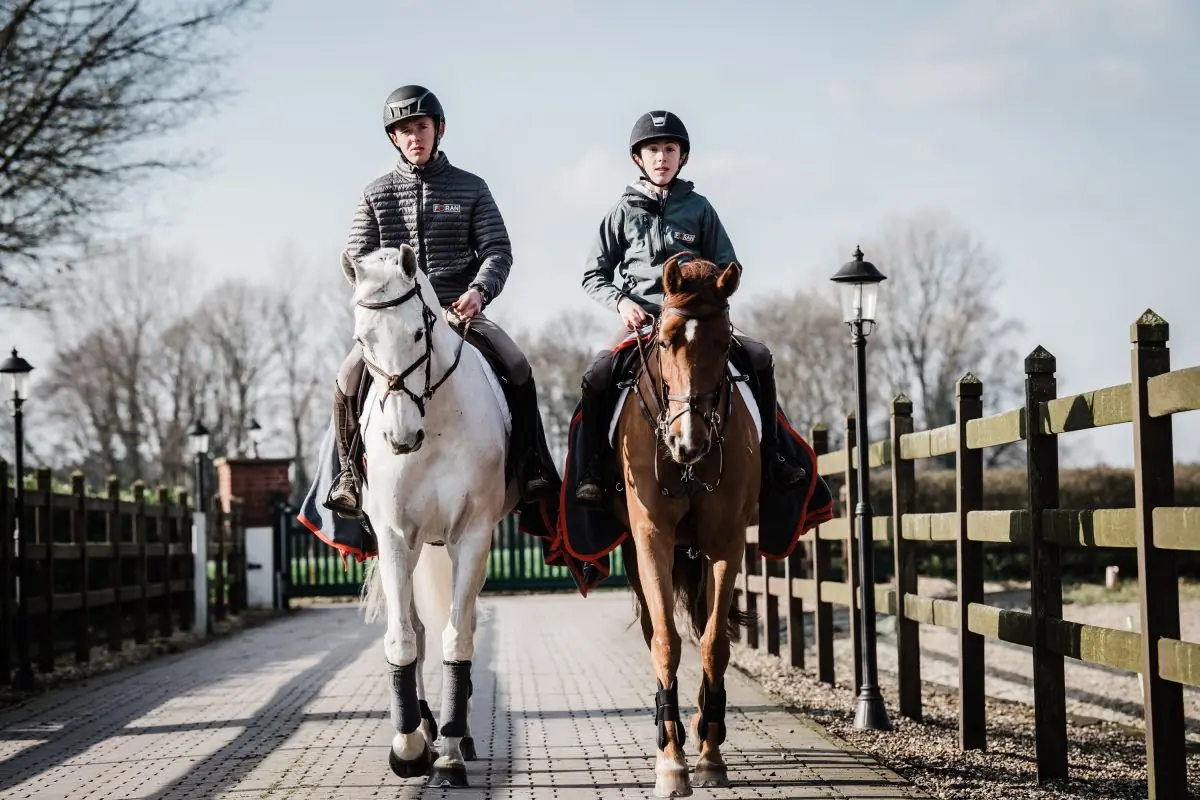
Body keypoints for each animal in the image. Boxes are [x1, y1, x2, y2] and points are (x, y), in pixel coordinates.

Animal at [343, 244, 515, 788]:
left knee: (462, 625)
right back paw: (422, 723)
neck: (434, 422)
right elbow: (403, 638)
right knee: (417, 629)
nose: (401, 438)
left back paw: (458, 735)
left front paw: (449, 755)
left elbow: (457, 636)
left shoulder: (473, 536)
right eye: (363, 339)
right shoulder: (397, 537)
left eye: (419, 334)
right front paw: (409, 746)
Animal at [614, 254, 759, 797]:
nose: (687, 441)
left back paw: (702, 726)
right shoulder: (652, 542)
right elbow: (666, 643)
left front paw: (710, 753)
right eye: (666, 339)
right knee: (659, 631)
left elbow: (714, 643)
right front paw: (670, 760)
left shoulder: (725, 543)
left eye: (724, 342)